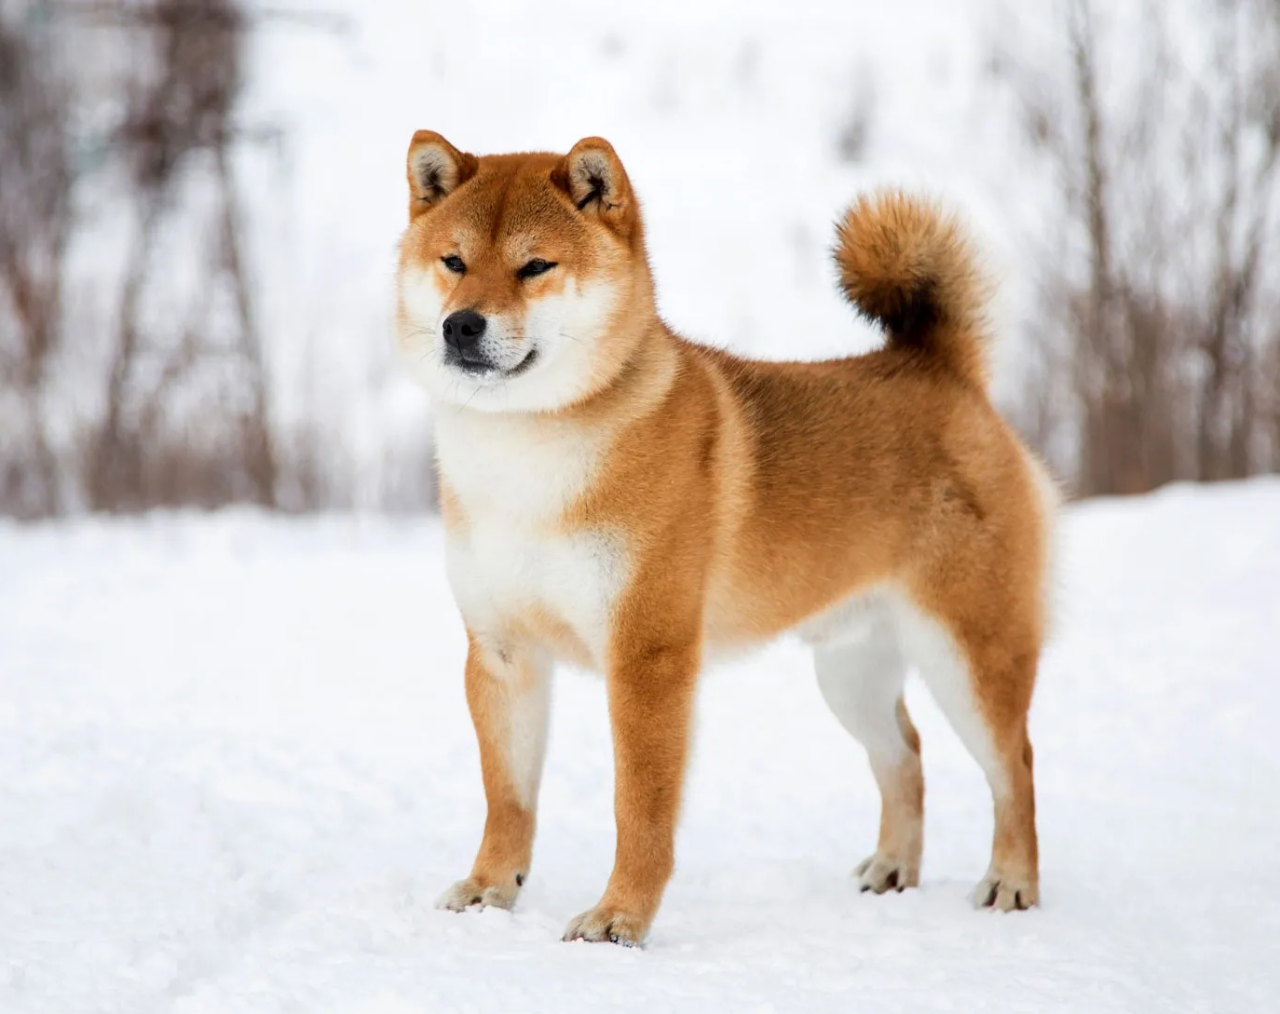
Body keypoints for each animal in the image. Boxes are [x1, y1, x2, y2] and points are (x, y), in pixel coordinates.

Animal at [394, 130, 1054, 947]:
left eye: (534, 266)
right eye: (453, 262)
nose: (461, 325)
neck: (526, 463)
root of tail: (944, 372)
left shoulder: (647, 656)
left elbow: (639, 809)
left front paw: (620, 917)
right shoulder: (502, 651)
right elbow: (507, 797)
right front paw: (490, 890)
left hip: (968, 655)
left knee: (1015, 766)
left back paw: (1012, 882)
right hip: (852, 672)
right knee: (906, 757)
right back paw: (892, 869)